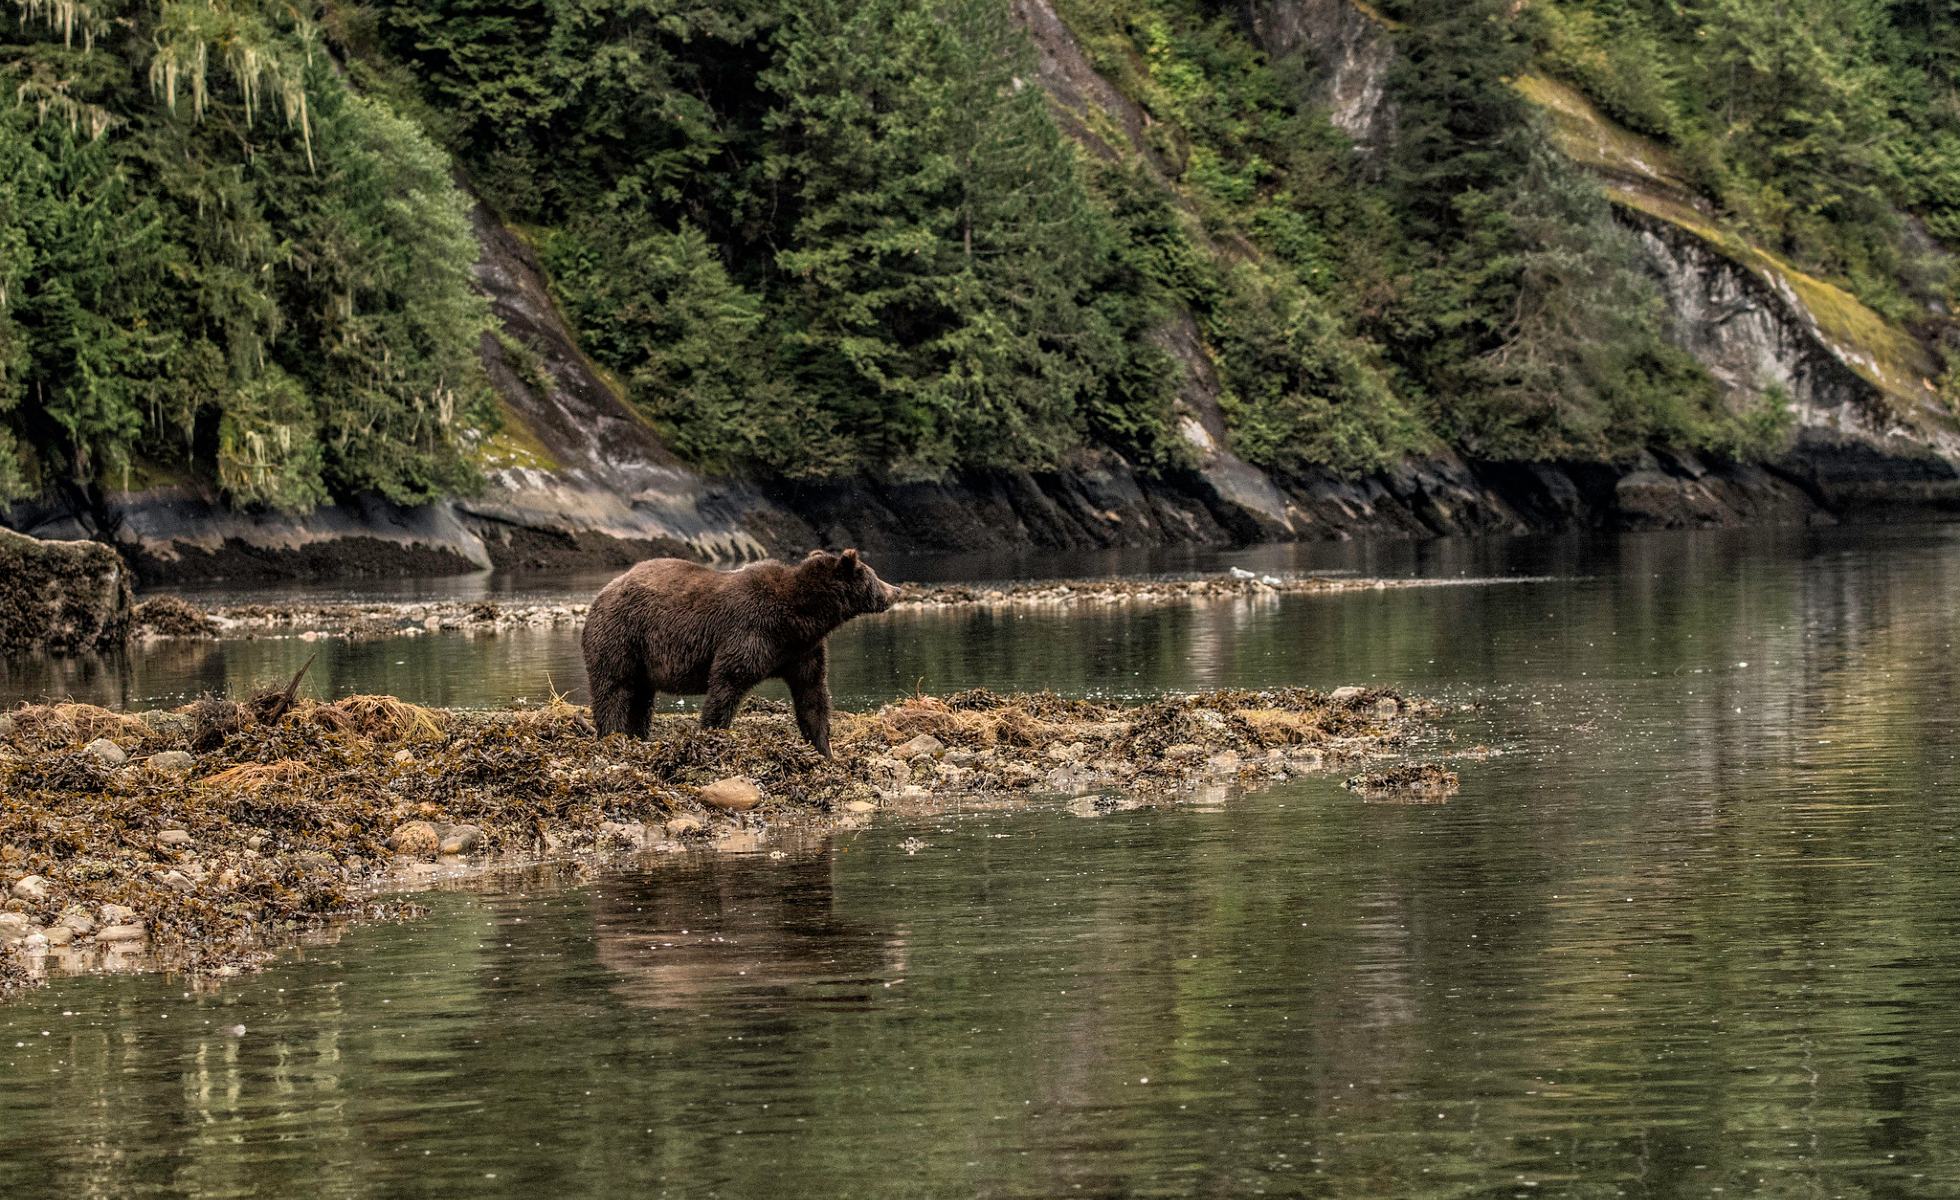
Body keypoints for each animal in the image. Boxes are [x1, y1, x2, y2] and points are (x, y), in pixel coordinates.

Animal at [572, 549, 897, 752]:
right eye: (874, 575)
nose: (896, 590)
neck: (801, 617)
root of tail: (600, 595)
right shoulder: (750, 631)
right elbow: (727, 682)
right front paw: (713, 734)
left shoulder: (800, 650)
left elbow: (812, 694)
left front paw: (823, 748)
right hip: (621, 635)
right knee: (614, 687)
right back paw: (612, 734)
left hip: (641, 656)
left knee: (641, 697)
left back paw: (637, 736)